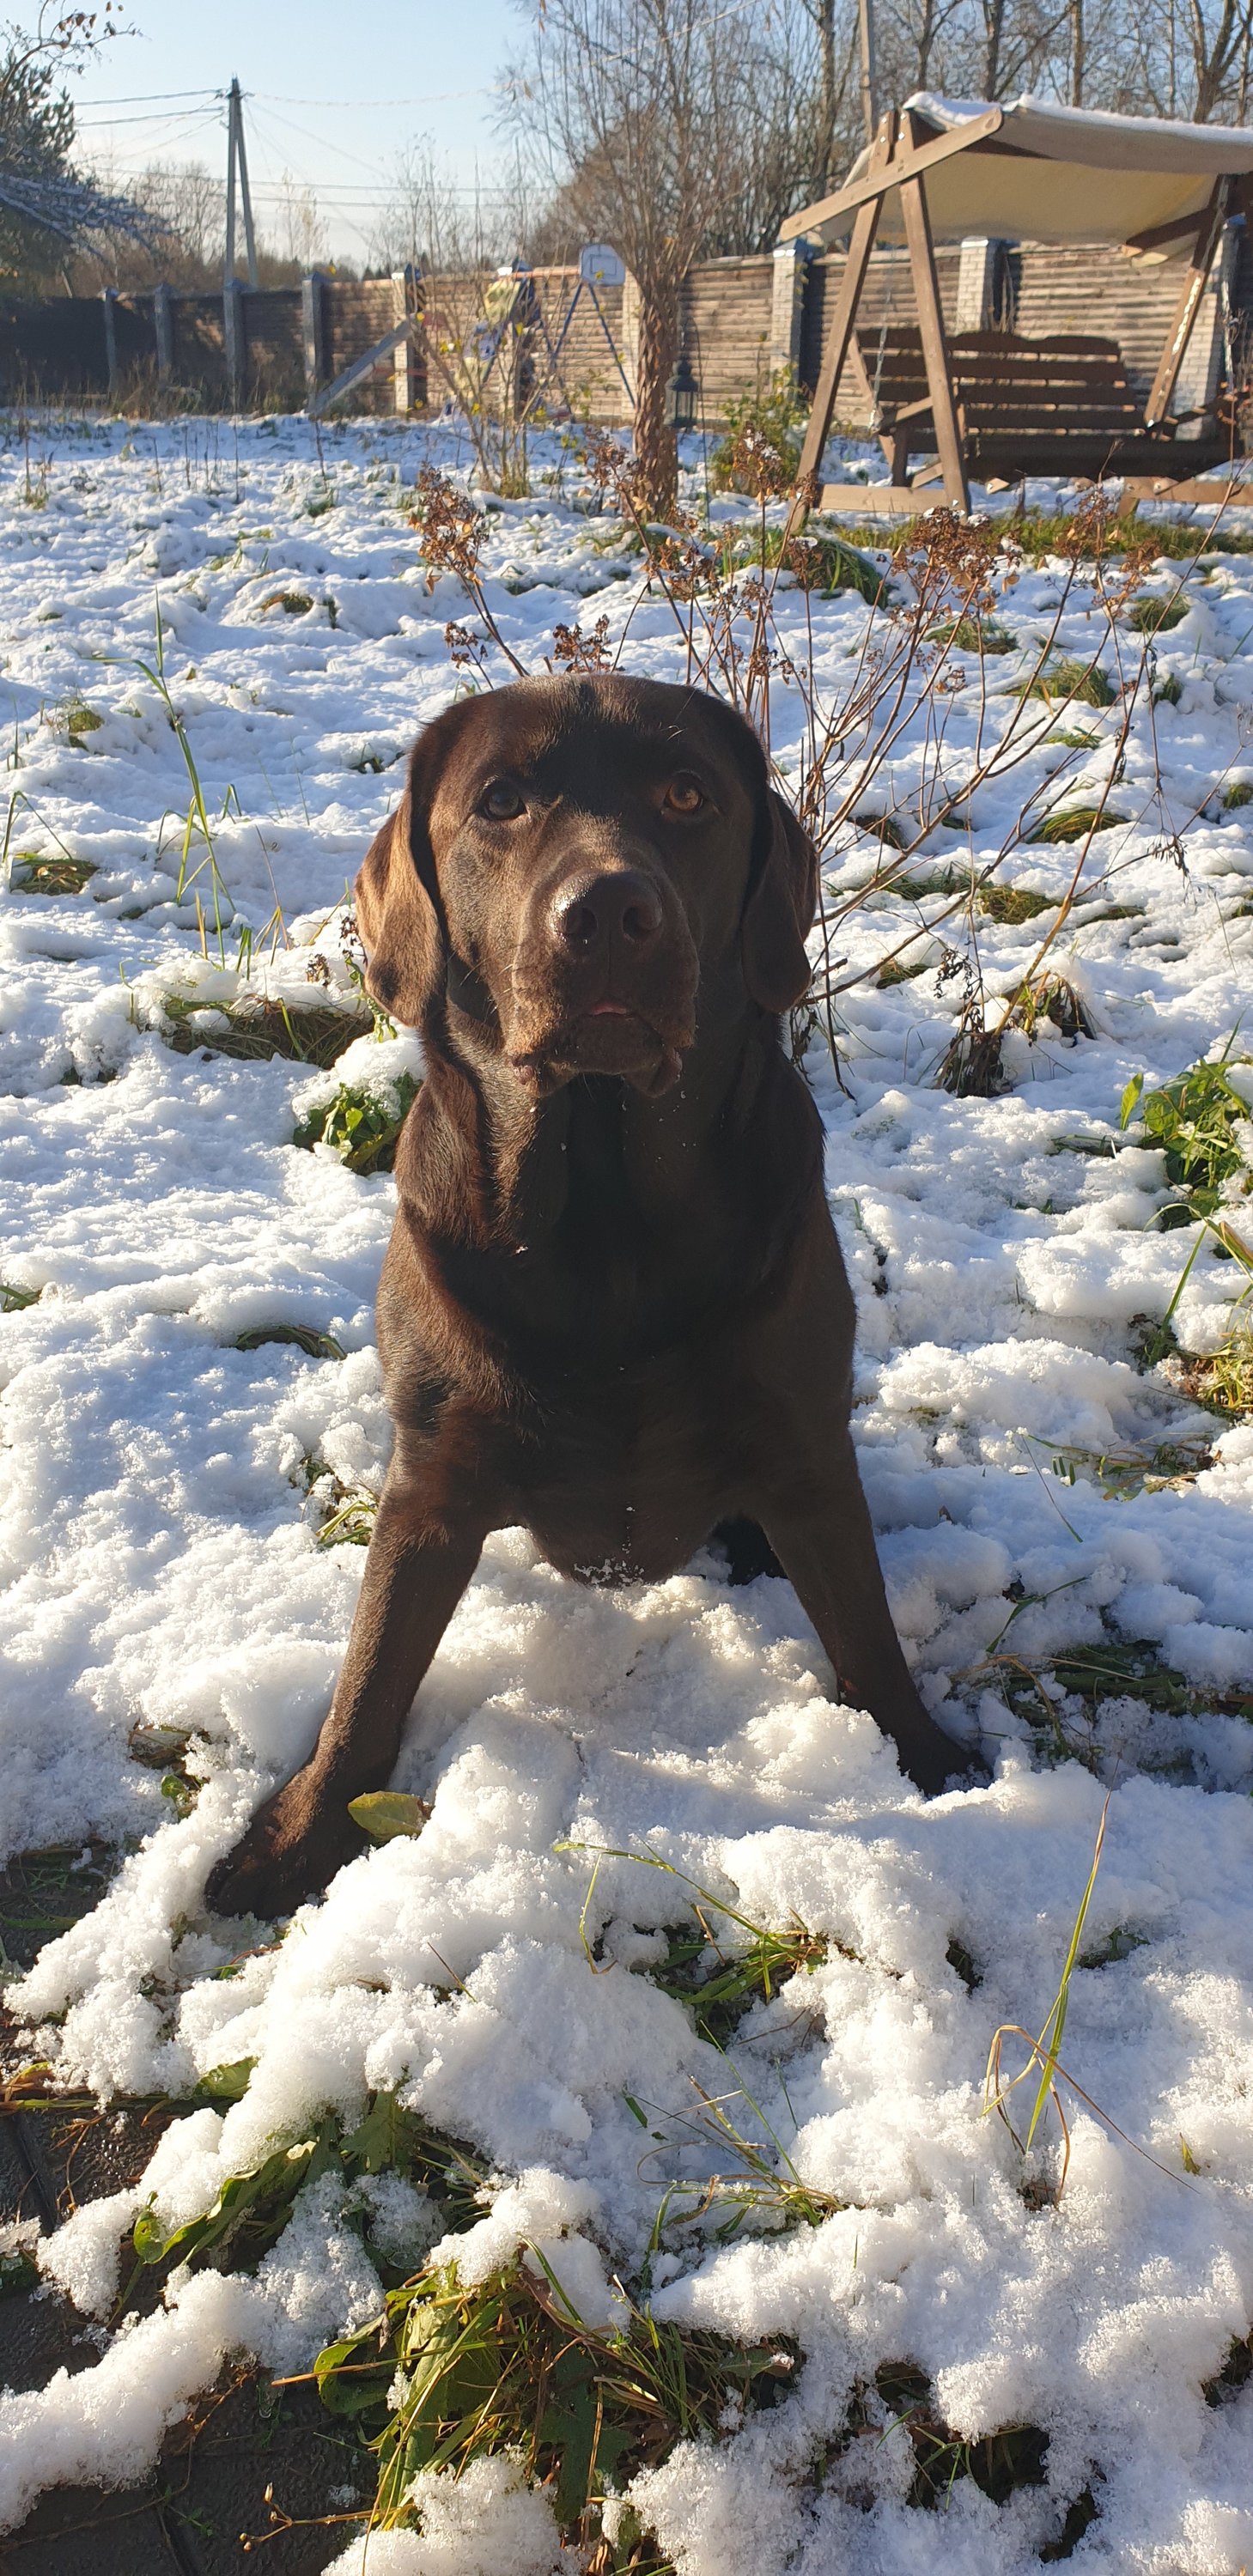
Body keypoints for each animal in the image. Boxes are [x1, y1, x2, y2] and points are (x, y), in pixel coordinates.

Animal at [207, 675, 968, 1916]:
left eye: (687, 794)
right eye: (500, 800)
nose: (608, 911)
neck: (604, 1224)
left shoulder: (804, 1445)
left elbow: (862, 1629)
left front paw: (927, 1762)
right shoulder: (431, 1479)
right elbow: (369, 1676)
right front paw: (300, 1833)